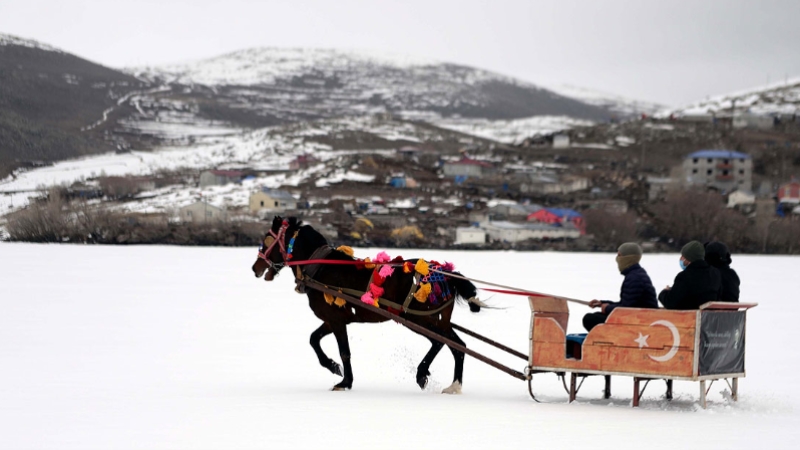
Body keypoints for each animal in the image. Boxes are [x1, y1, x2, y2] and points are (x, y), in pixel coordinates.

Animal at [253, 216, 484, 392]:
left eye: (266, 240)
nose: (255, 267)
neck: (320, 268)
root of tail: (445, 274)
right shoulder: (331, 320)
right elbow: (313, 339)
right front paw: (333, 366)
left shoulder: (337, 321)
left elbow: (344, 352)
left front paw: (345, 381)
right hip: (438, 320)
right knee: (458, 346)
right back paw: (454, 386)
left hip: (420, 319)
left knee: (439, 343)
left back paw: (422, 374)